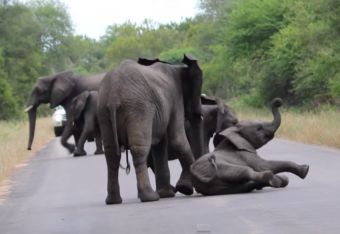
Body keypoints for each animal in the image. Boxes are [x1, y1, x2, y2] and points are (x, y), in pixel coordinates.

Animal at [97, 54, 205, 204]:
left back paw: (113, 201)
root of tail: (114, 96)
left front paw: (168, 193)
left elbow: (160, 145)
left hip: (103, 110)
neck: (177, 66)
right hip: (138, 109)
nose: (182, 188)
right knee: (139, 149)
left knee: (111, 153)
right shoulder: (175, 99)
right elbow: (177, 140)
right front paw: (181, 190)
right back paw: (150, 197)